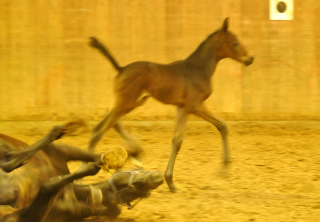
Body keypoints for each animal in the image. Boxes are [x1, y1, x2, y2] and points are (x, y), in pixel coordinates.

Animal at [0, 121, 164, 222]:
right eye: (138, 187)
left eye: (144, 194)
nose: (157, 177)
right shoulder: (60, 151)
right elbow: (94, 157)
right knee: (13, 161)